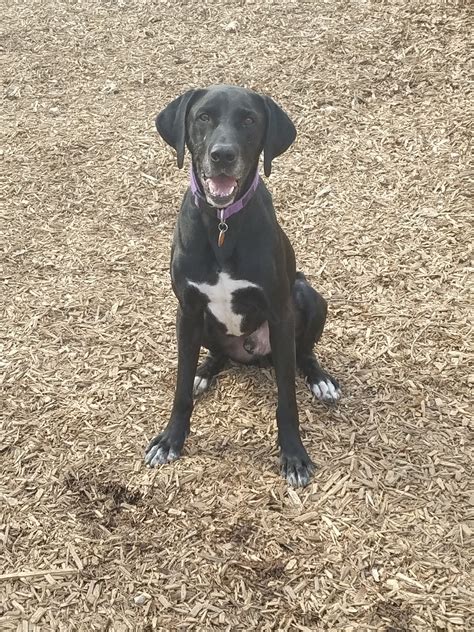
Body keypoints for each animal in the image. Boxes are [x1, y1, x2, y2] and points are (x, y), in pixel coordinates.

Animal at [145, 84, 340, 486]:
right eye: (203, 116)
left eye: (249, 120)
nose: (222, 155)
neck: (222, 223)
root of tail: (252, 354)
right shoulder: (187, 310)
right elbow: (180, 388)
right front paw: (172, 439)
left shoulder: (280, 314)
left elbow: (287, 399)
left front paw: (294, 455)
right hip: (202, 325)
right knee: (216, 355)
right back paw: (204, 371)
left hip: (308, 296)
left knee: (303, 352)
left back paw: (320, 379)